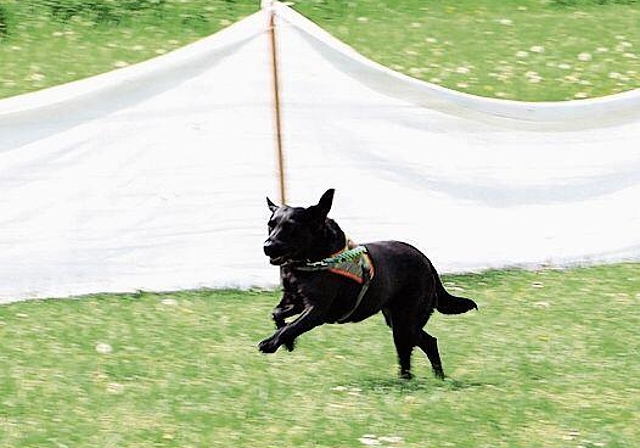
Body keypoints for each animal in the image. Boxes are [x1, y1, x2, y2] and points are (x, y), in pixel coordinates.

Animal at [258, 188, 476, 378]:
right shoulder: (295, 301)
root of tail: (426, 261)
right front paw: (288, 343)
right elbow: (277, 315)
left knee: (412, 348)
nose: (267, 246)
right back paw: (434, 378)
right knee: (428, 342)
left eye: (291, 227)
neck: (311, 259)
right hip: (397, 319)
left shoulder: (316, 310)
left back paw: (410, 381)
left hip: (405, 322)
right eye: (271, 224)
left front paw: (270, 344)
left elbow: (291, 326)